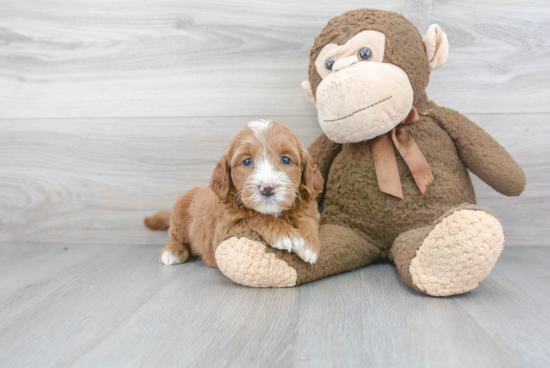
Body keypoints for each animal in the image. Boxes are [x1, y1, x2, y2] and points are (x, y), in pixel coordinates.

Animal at [146, 121, 328, 268]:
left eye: (285, 159)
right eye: (247, 161)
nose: (267, 188)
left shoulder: (308, 207)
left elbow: (308, 221)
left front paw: (309, 245)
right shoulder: (223, 234)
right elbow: (254, 217)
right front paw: (284, 234)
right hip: (179, 213)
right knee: (175, 236)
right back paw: (172, 251)